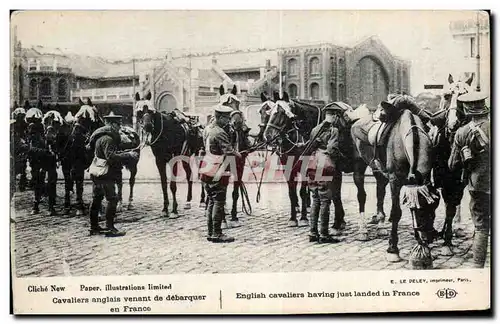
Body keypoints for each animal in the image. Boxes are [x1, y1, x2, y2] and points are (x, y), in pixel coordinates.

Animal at [262, 90, 320, 228]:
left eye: (283, 113)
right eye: (270, 113)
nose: (267, 135)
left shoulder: (304, 167)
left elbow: (302, 191)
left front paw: (303, 218)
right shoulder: (287, 168)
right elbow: (291, 192)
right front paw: (293, 218)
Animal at [350, 94, 440, 266]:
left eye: (432, 208)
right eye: (421, 213)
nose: (429, 236)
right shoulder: (395, 181)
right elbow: (396, 212)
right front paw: (393, 249)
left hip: (378, 170)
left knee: (379, 191)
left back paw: (380, 223)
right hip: (359, 165)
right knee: (361, 195)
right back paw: (363, 229)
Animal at [416, 73, 474, 256]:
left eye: (464, 96)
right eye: (447, 95)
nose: (453, 124)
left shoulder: (458, 184)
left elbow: (451, 208)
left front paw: (447, 239)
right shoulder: (440, 179)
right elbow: (434, 201)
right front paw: (431, 234)